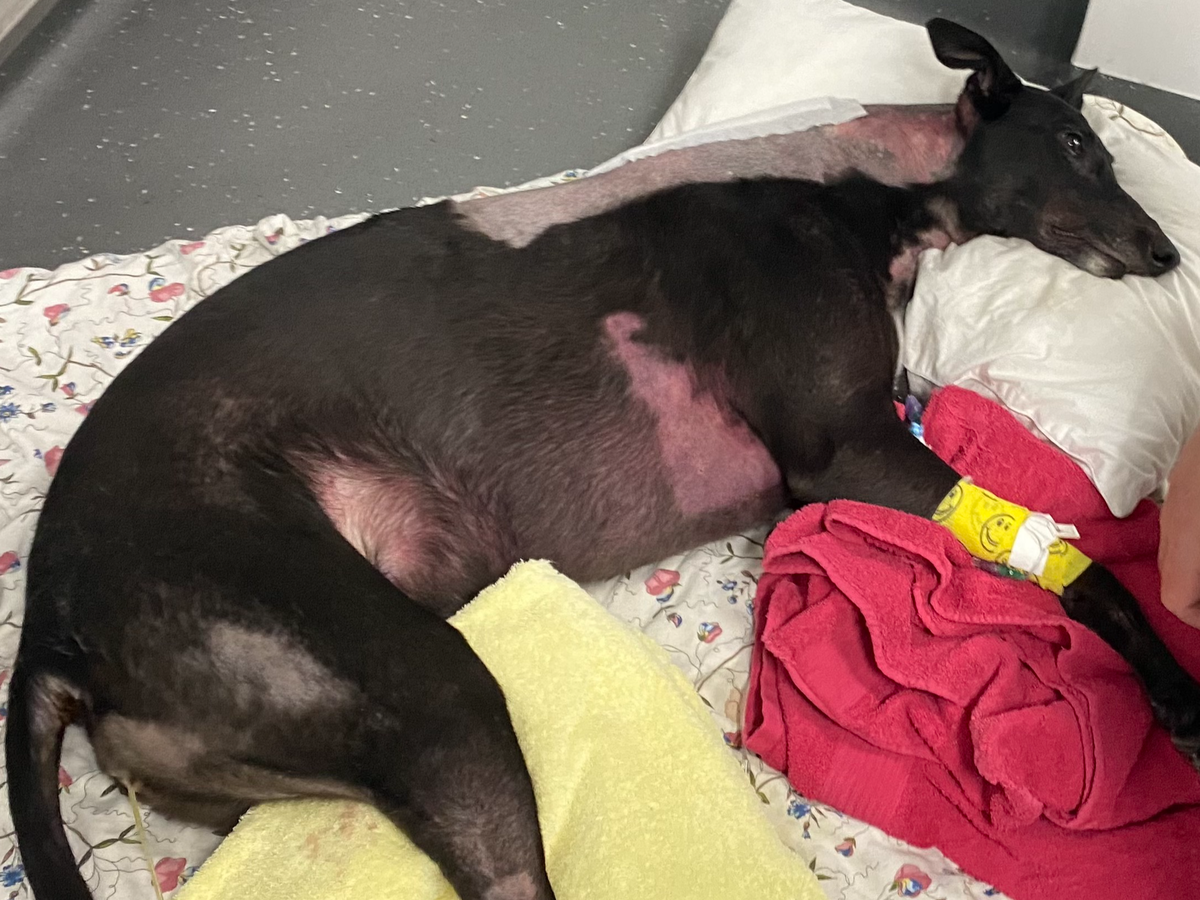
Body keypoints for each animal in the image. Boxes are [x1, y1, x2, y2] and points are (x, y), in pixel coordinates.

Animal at [8, 19, 1191, 900]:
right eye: (1077, 148)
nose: (1166, 251)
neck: (857, 180)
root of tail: (53, 622)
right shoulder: (844, 447)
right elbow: (1088, 575)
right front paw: (1176, 695)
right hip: (430, 686)